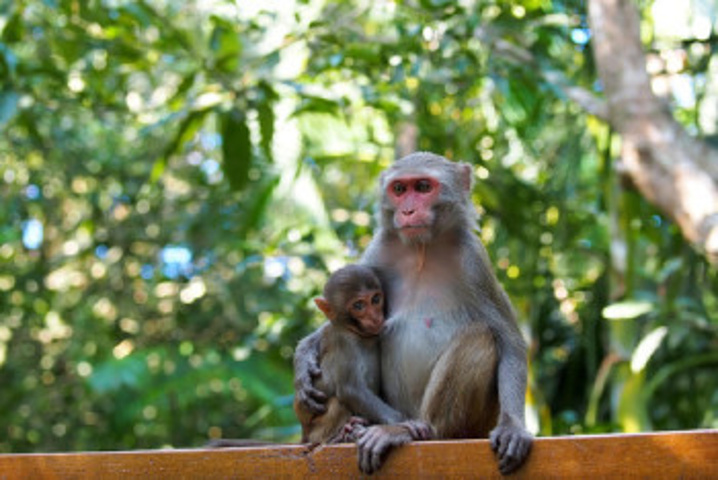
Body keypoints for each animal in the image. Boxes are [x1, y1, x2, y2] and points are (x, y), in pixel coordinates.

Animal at [296, 264, 428, 444]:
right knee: (338, 403)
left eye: (375, 299)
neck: (355, 332)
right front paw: (406, 422)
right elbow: (351, 389)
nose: (375, 317)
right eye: (358, 305)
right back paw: (336, 436)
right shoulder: (344, 343)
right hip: (317, 427)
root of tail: (305, 432)